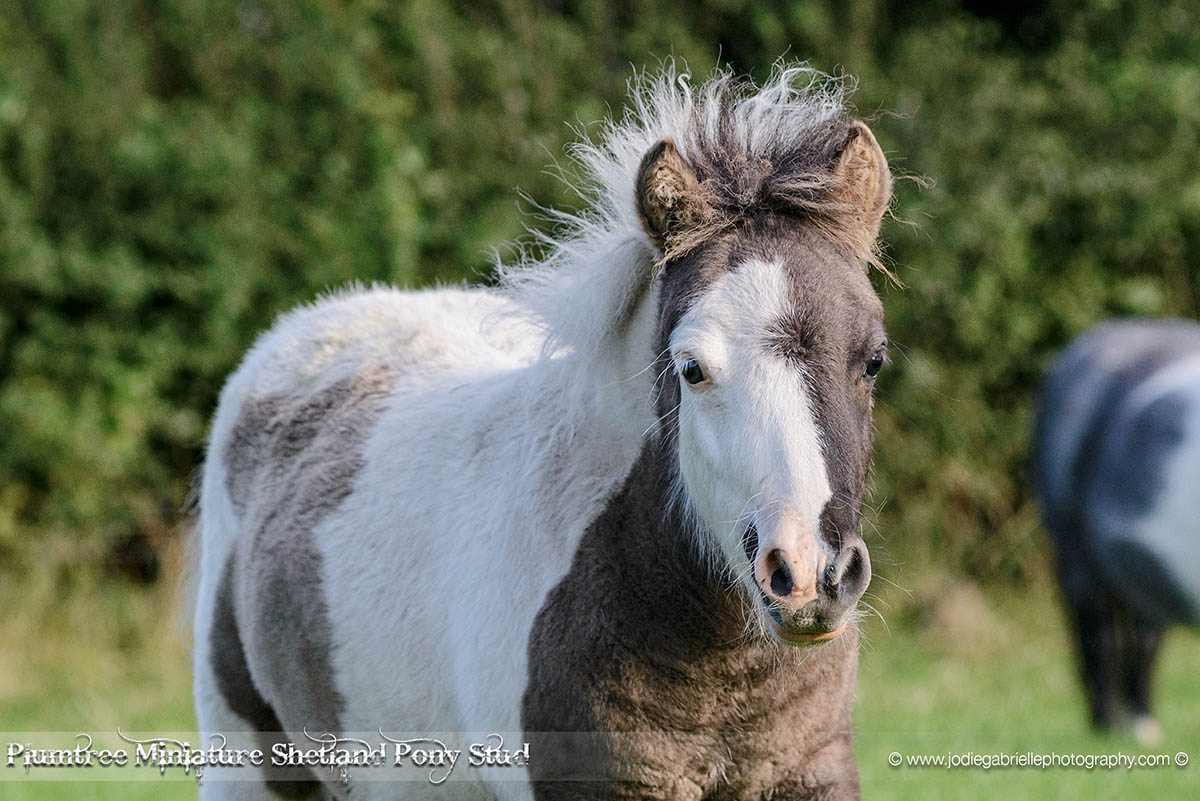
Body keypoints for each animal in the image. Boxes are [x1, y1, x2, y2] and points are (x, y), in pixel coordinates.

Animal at [1032, 316, 1200, 743]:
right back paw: (1107, 727)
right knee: (1097, 638)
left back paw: (1142, 726)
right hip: (1074, 555)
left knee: (1144, 638)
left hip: (1139, 572)